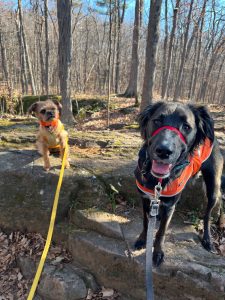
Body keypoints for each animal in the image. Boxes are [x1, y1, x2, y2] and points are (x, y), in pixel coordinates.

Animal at [134, 102, 224, 266]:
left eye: (186, 126)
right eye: (157, 120)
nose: (164, 151)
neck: (158, 180)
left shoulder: (170, 204)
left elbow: (161, 232)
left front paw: (157, 252)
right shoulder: (144, 198)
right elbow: (146, 222)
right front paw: (142, 239)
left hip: (213, 188)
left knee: (208, 215)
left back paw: (207, 239)